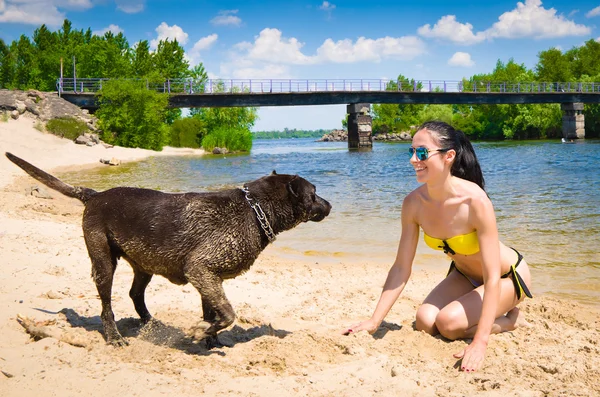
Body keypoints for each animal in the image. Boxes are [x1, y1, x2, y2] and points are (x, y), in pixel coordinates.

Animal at [5, 152, 332, 346]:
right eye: (314, 193)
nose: (330, 205)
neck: (254, 210)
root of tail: (95, 196)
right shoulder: (201, 270)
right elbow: (228, 314)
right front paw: (200, 332)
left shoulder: (208, 279)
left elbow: (214, 314)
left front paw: (210, 339)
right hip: (103, 263)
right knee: (107, 306)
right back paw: (114, 336)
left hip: (144, 265)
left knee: (135, 294)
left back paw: (151, 323)